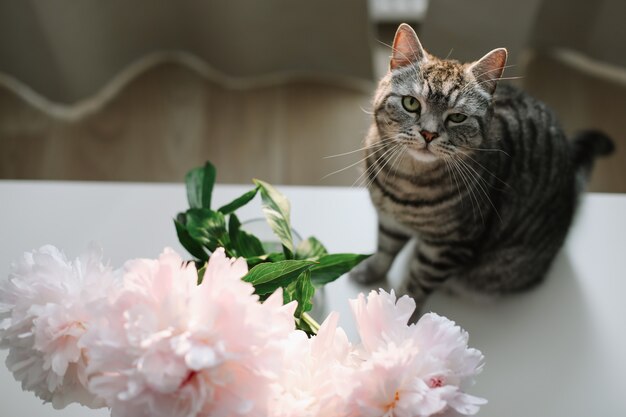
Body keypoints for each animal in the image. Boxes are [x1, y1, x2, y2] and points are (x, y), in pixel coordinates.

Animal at [348, 23, 612, 316]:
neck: (407, 180)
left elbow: (417, 282)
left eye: (457, 117)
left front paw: (405, 312)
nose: (428, 134)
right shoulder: (390, 220)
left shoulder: (448, 247)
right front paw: (369, 270)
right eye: (411, 103)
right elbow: (385, 249)